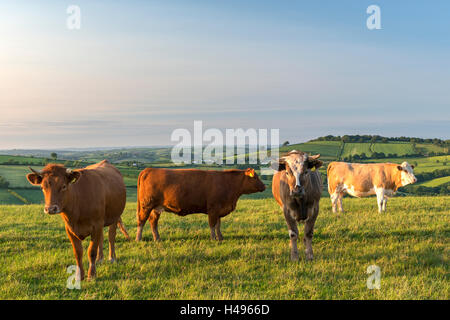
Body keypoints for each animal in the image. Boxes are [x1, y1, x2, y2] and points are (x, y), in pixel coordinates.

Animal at [135, 169, 266, 241]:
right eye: (255, 177)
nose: (264, 186)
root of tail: (149, 169)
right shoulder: (213, 208)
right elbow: (212, 225)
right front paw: (213, 238)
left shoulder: (219, 209)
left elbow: (218, 225)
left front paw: (220, 237)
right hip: (146, 205)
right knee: (141, 221)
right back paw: (138, 238)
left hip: (156, 208)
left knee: (153, 222)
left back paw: (157, 238)